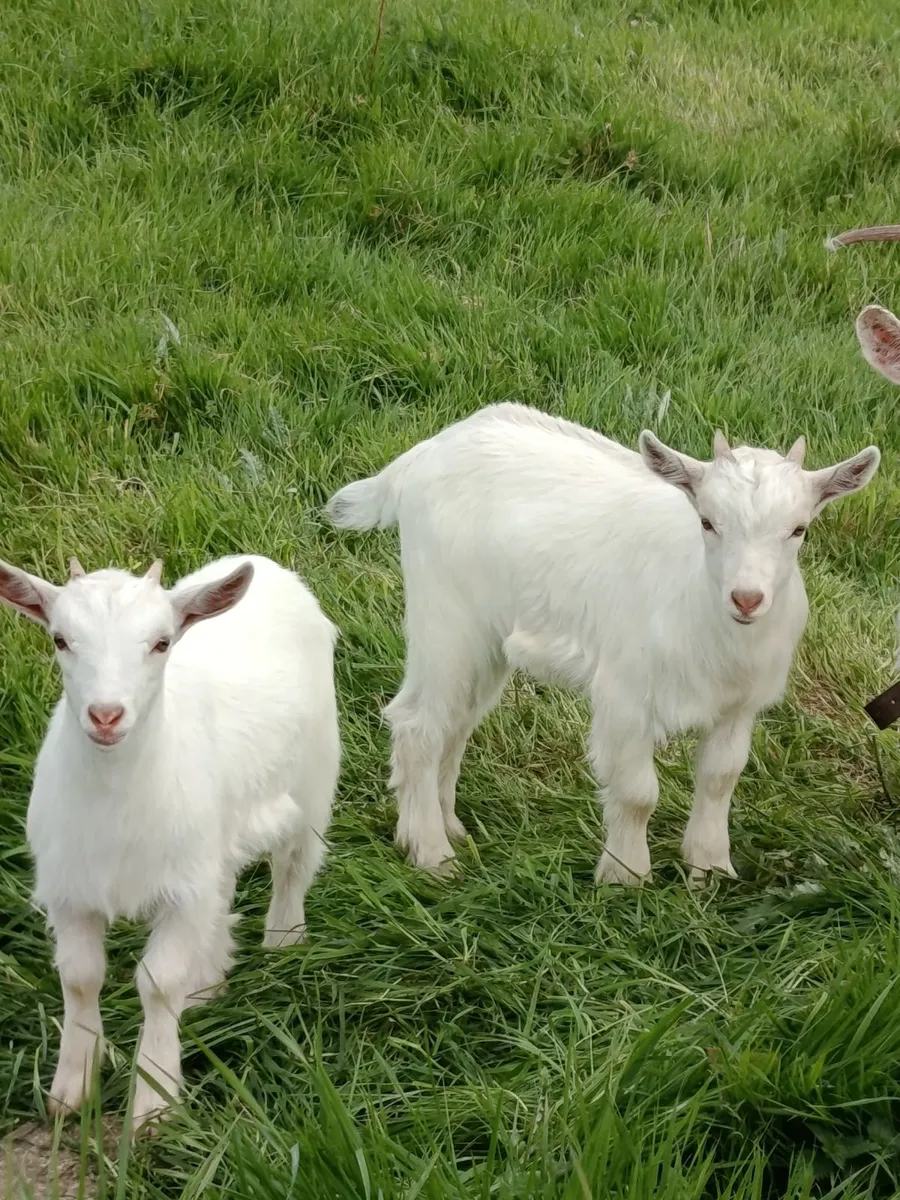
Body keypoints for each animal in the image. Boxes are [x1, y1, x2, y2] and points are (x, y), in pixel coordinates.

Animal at [0, 554, 339, 1129]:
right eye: (60, 639)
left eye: (161, 642)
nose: (106, 715)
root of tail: (265, 566)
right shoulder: (71, 890)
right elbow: (80, 978)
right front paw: (71, 1090)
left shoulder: (181, 894)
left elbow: (157, 983)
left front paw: (155, 1104)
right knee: (224, 887)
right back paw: (207, 983)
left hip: (315, 776)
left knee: (293, 864)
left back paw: (283, 943)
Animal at [327, 403, 879, 885]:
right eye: (707, 521)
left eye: (798, 530)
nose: (747, 598)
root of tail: (429, 452)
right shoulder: (626, 696)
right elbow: (637, 793)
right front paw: (626, 878)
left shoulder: (737, 707)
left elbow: (720, 779)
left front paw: (709, 870)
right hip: (445, 619)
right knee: (418, 724)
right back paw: (431, 853)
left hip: (487, 640)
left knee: (455, 724)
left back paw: (448, 829)